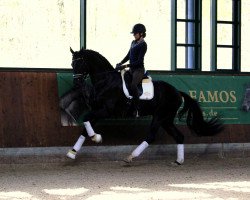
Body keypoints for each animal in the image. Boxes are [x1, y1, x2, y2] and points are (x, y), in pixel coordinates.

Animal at [65, 47, 224, 165]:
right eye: (72, 64)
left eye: (81, 64)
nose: (76, 84)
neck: (106, 81)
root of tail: (177, 92)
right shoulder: (97, 111)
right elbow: (85, 126)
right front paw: (73, 153)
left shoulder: (105, 111)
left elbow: (86, 120)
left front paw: (96, 137)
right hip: (166, 119)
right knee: (179, 136)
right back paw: (178, 161)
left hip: (160, 116)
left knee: (151, 136)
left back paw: (131, 157)